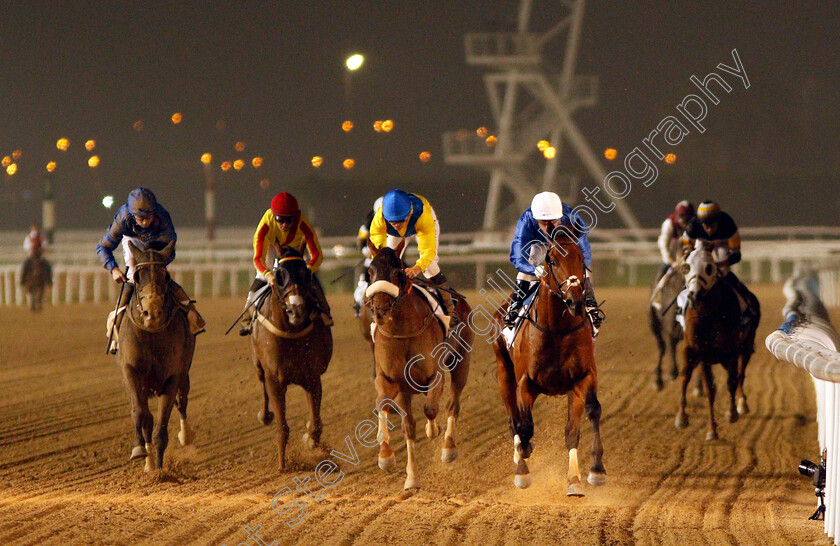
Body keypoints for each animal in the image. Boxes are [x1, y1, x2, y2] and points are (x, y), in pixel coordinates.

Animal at [120, 240, 195, 470]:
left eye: (166, 276)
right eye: (137, 276)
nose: (152, 313)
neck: (151, 333)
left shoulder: (173, 375)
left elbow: (162, 424)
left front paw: (161, 471)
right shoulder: (131, 370)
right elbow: (141, 414)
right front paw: (142, 455)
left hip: (184, 373)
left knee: (182, 402)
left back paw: (185, 436)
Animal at [249, 246, 332, 468]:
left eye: (306, 273)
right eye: (279, 276)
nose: (297, 310)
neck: (292, 330)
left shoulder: (313, 377)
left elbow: (316, 424)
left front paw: (312, 444)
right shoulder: (275, 379)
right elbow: (282, 427)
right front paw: (282, 465)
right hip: (258, 363)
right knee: (261, 383)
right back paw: (264, 415)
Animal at [366, 246, 472, 488]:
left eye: (397, 272)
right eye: (370, 272)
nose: (379, 310)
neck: (403, 331)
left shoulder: (435, 375)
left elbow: (431, 409)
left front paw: (432, 430)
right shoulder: (390, 380)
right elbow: (387, 409)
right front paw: (388, 458)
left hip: (461, 363)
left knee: (453, 404)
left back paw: (448, 447)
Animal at [492, 223, 604, 496]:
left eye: (581, 258)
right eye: (551, 260)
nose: (575, 300)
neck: (556, 330)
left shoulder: (583, 378)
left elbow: (583, 421)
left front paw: (585, 476)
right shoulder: (525, 383)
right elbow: (524, 426)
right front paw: (522, 471)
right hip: (504, 374)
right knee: (513, 420)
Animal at [676, 242, 760, 438]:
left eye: (709, 267)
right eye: (686, 267)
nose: (695, 295)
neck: (708, 315)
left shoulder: (731, 352)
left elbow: (731, 382)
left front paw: (732, 413)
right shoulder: (698, 353)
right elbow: (703, 387)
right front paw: (709, 428)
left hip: (746, 347)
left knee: (740, 374)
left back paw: (742, 403)